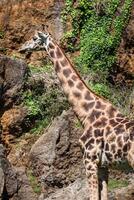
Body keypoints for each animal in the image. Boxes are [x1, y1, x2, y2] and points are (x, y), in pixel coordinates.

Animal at [19, 30, 134, 199]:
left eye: (34, 38)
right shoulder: (102, 165)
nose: (21, 48)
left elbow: (93, 196)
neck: (87, 112)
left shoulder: (89, 160)